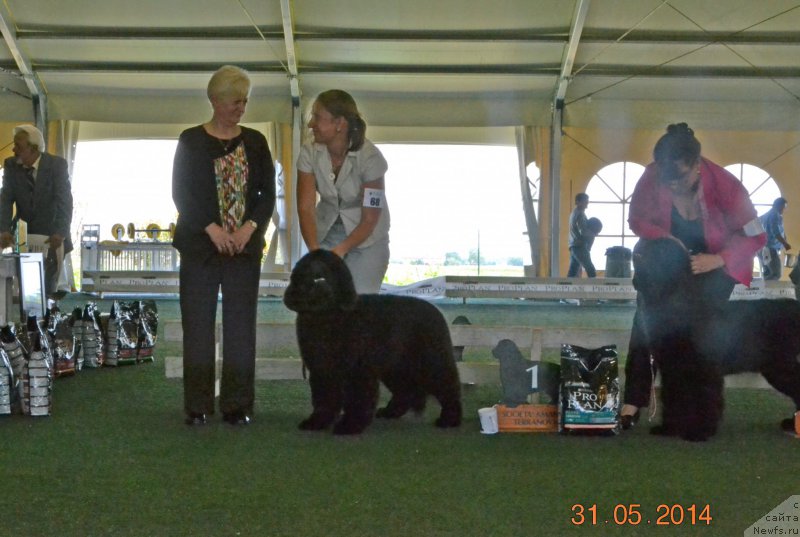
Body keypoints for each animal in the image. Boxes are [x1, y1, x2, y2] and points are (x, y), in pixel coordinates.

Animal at [282, 249, 462, 434]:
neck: (326, 317)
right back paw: (390, 412)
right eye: (304, 273)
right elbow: (324, 399)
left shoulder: (357, 370)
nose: (318, 283)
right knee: (405, 391)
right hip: (396, 366)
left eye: (325, 275)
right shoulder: (321, 369)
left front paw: (350, 426)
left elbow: (357, 400)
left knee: (448, 387)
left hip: (432, 362)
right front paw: (316, 422)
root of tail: (435, 311)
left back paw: (449, 419)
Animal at [632, 239, 800, 440]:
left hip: (780, 367)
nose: (635, 252)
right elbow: (674, 398)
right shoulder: (673, 369)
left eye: (646, 254)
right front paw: (669, 428)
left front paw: (700, 432)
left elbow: (706, 399)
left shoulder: (704, 369)